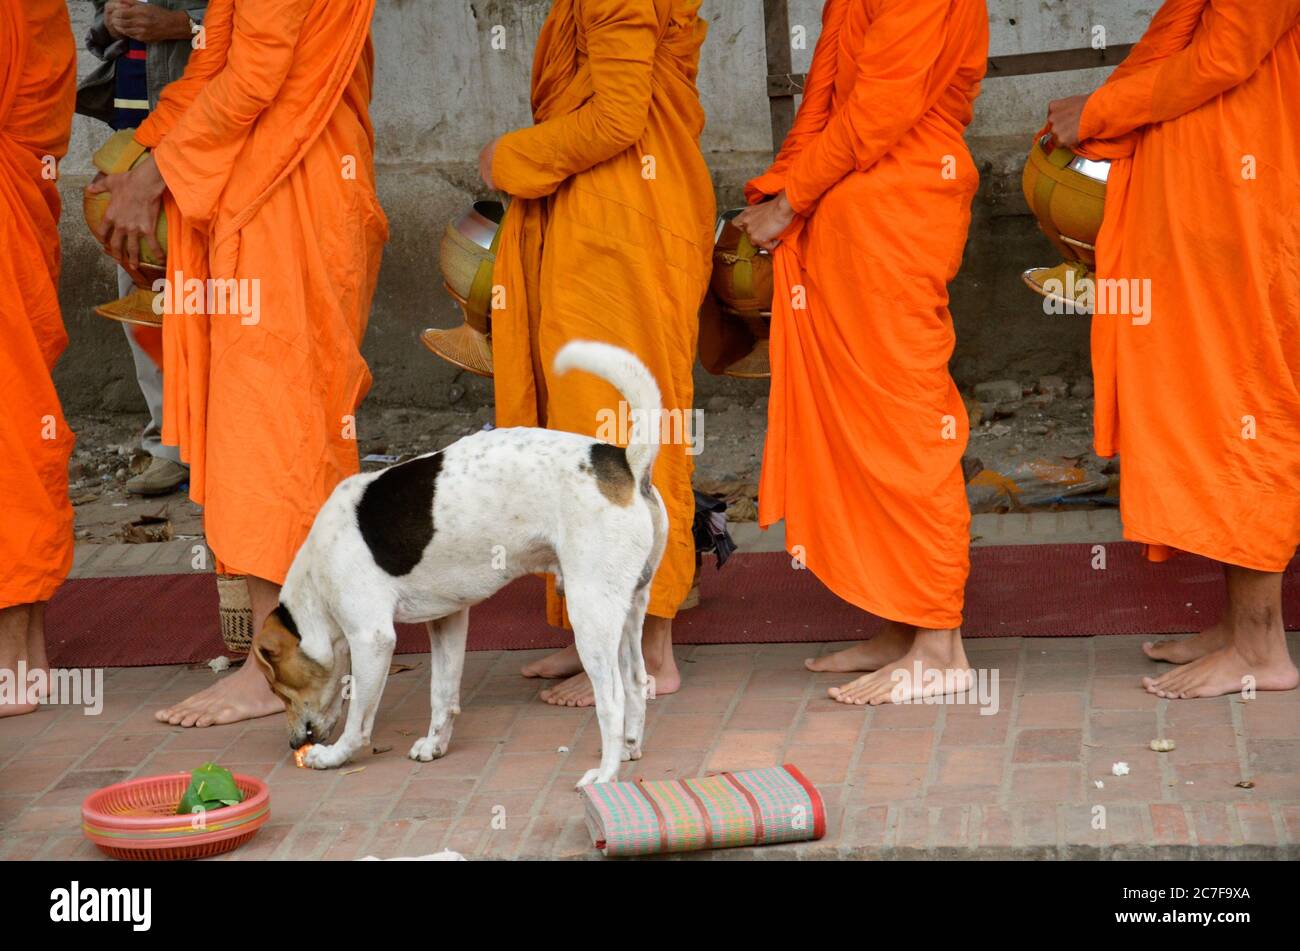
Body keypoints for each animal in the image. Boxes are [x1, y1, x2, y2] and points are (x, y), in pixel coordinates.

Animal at [249, 342, 665, 789]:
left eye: (279, 689)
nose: (294, 746)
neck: (316, 578)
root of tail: (627, 463)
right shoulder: (447, 619)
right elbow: (443, 694)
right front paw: (435, 745)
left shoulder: (372, 639)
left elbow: (359, 722)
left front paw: (332, 757)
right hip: (627, 608)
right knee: (637, 682)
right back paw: (630, 749)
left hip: (589, 613)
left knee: (612, 699)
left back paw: (605, 774)